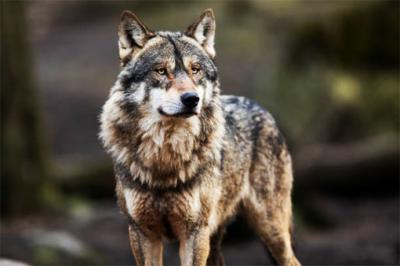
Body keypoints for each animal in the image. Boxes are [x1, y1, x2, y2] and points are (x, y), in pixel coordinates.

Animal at [99, 8, 300, 266]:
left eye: (195, 69)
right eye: (161, 71)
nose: (191, 99)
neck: (165, 156)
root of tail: (261, 108)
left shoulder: (194, 233)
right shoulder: (142, 233)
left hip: (270, 230)